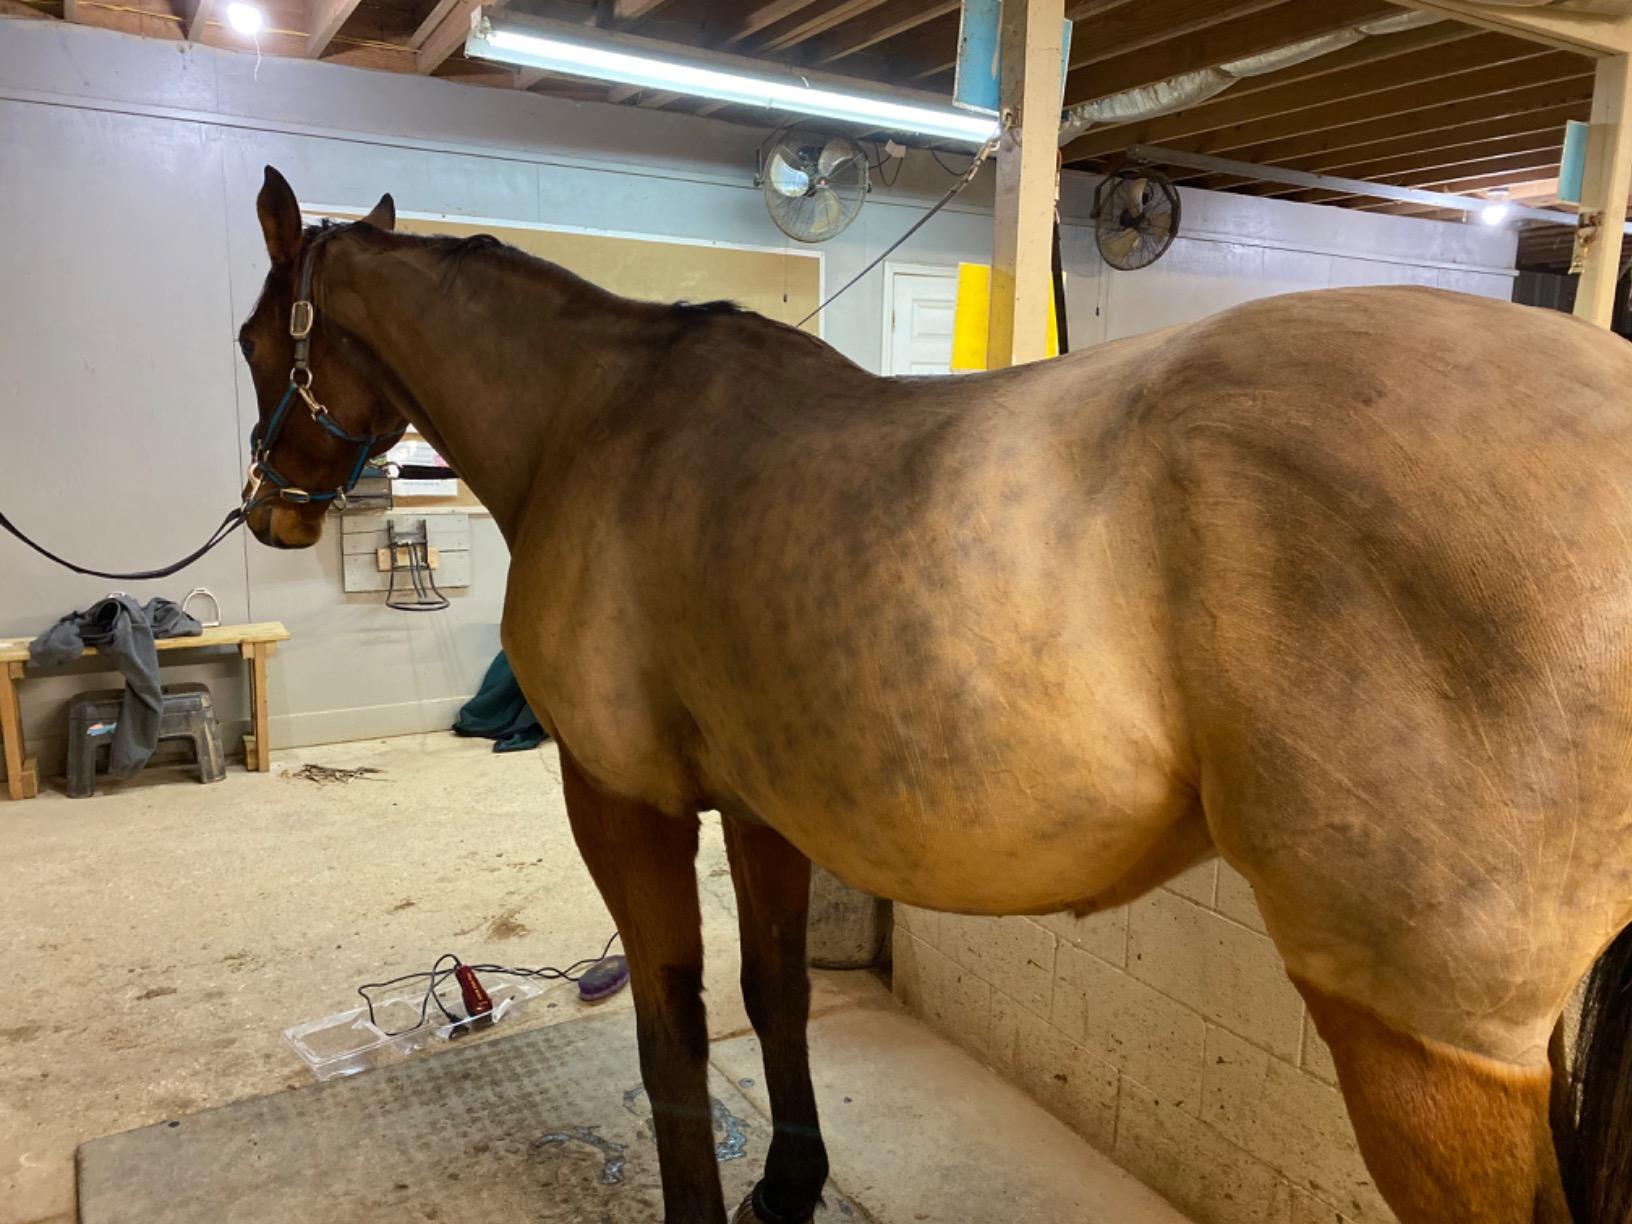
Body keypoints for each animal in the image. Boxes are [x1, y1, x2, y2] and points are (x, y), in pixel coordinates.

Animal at [234, 165, 1632, 1224]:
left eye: (255, 339)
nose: (271, 512)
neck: (599, 422)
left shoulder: (624, 803)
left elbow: (672, 1032)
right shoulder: (762, 809)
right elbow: (776, 994)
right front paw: (789, 1185)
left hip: (1425, 1048)